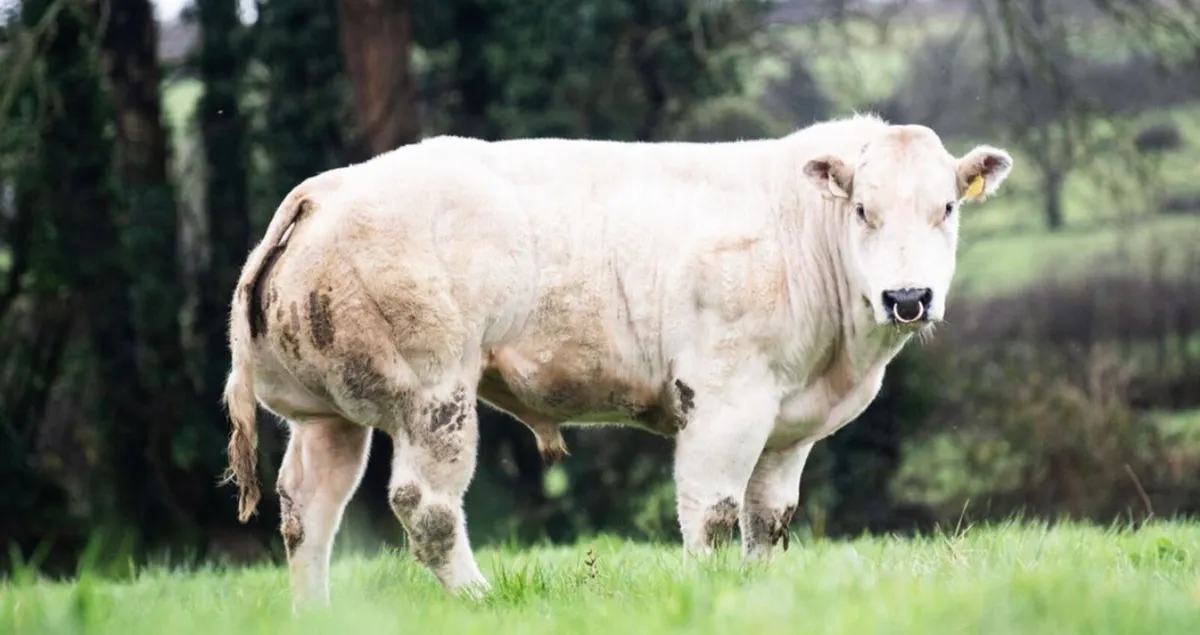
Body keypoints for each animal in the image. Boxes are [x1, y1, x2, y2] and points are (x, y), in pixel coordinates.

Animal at [220, 113, 1013, 607]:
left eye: (947, 208)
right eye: (862, 210)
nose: (908, 296)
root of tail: (327, 187)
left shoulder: (789, 424)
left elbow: (769, 518)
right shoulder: (726, 395)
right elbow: (713, 510)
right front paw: (704, 591)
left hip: (327, 415)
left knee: (307, 509)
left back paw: (317, 611)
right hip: (433, 390)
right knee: (427, 507)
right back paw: (480, 598)